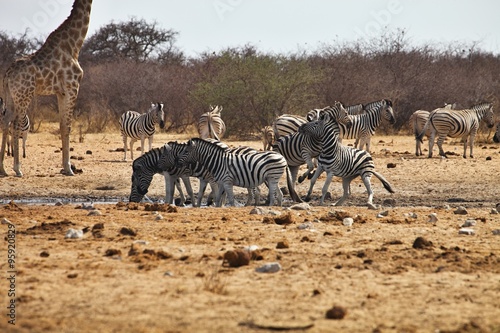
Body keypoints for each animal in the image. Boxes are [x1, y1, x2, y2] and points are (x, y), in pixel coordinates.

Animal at [0, 0, 93, 176]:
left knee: (5, 122)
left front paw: (66, 167)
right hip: (24, 95)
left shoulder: (61, 92)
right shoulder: (72, 88)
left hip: (10, 96)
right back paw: (17, 168)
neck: (74, 45)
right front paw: (69, 168)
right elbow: (67, 126)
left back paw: (2, 169)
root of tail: (7, 74)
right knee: (15, 124)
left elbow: (62, 126)